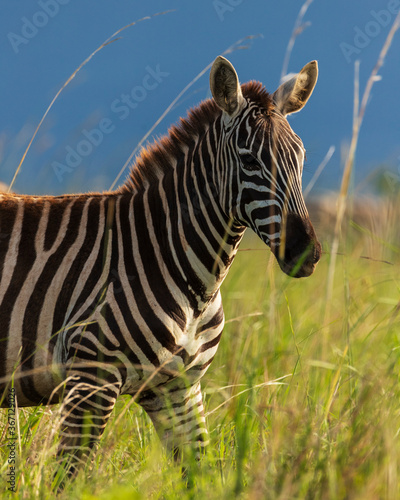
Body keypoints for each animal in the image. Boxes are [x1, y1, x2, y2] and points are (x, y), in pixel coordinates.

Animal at [0, 56, 318, 482]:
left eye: (301, 158)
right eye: (249, 160)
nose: (306, 252)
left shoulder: (178, 390)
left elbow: (201, 477)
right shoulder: (92, 377)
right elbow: (66, 479)